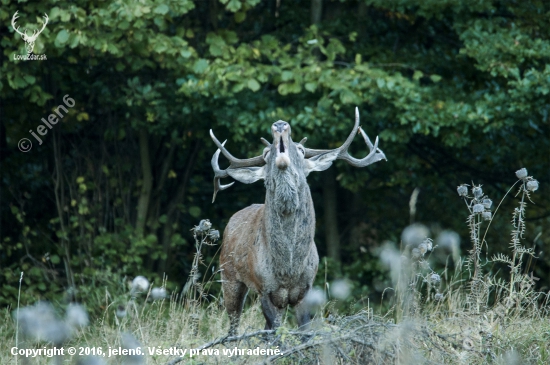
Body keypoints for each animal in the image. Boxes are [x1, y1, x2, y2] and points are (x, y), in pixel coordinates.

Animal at [211, 106, 388, 334]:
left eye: (302, 151)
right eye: (266, 154)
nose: (280, 124)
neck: (289, 270)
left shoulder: (306, 289)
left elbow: (304, 332)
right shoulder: (264, 288)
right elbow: (275, 333)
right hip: (228, 275)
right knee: (233, 325)